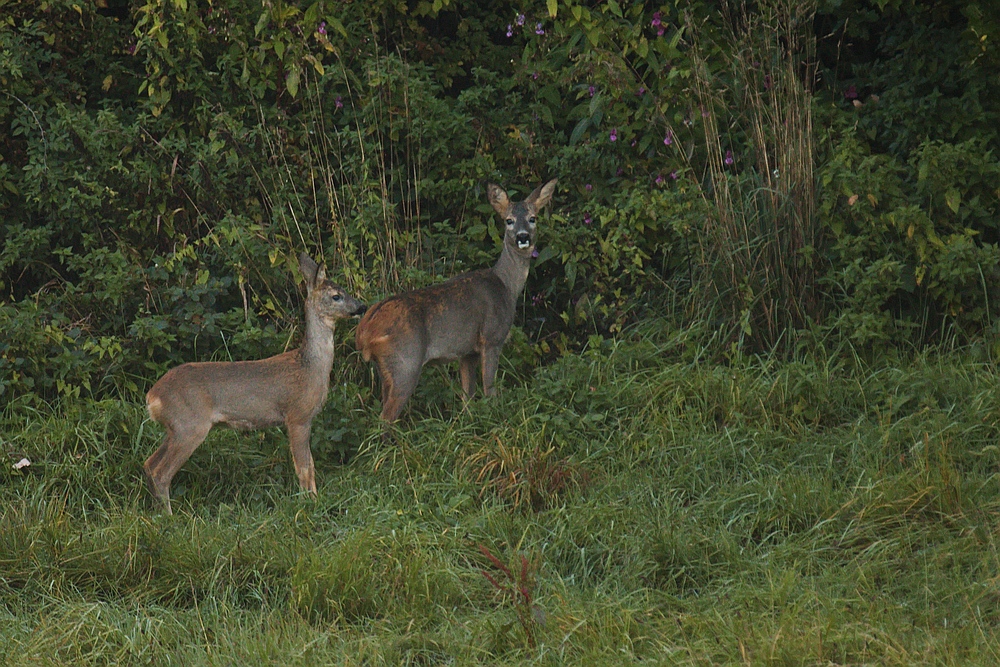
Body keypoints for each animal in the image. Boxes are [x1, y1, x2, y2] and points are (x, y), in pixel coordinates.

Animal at [145, 253, 368, 516]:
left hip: (175, 428)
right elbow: (304, 467)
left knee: (149, 463)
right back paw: (169, 516)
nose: (361, 307)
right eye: (336, 296)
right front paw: (310, 503)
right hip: (189, 426)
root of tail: (152, 396)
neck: (310, 367)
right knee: (161, 472)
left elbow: (309, 465)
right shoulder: (297, 415)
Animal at [354, 179, 560, 422]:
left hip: (386, 369)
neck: (506, 286)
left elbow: (467, 396)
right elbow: (490, 390)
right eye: (508, 220)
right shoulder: (492, 338)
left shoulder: (467, 352)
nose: (522, 237)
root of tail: (365, 330)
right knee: (385, 419)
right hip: (406, 363)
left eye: (532, 218)